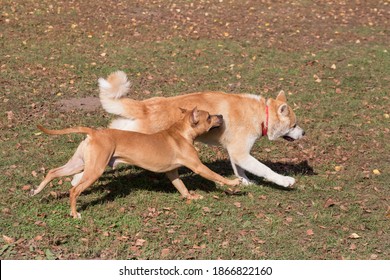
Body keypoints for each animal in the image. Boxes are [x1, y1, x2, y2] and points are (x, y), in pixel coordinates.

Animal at [32, 107, 241, 219]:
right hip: (94, 170)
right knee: (74, 190)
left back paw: (37, 191)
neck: (181, 132)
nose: (221, 116)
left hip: (79, 165)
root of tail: (94, 132)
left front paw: (191, 197)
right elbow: (216, 176)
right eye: (209, 117)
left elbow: (181, 187)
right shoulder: (197, 167)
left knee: (52, 172)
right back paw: (75, 214)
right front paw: (234, 183)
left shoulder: (172, 173)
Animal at [98, 70, 304, 188]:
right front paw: (285, 180)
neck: (262, 114)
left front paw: (245, 182)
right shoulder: (241, 153)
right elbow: (265, 169)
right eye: (293, 125)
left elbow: (239, 170)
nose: (304, 132)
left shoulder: (236, 153)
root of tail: (146, 106)